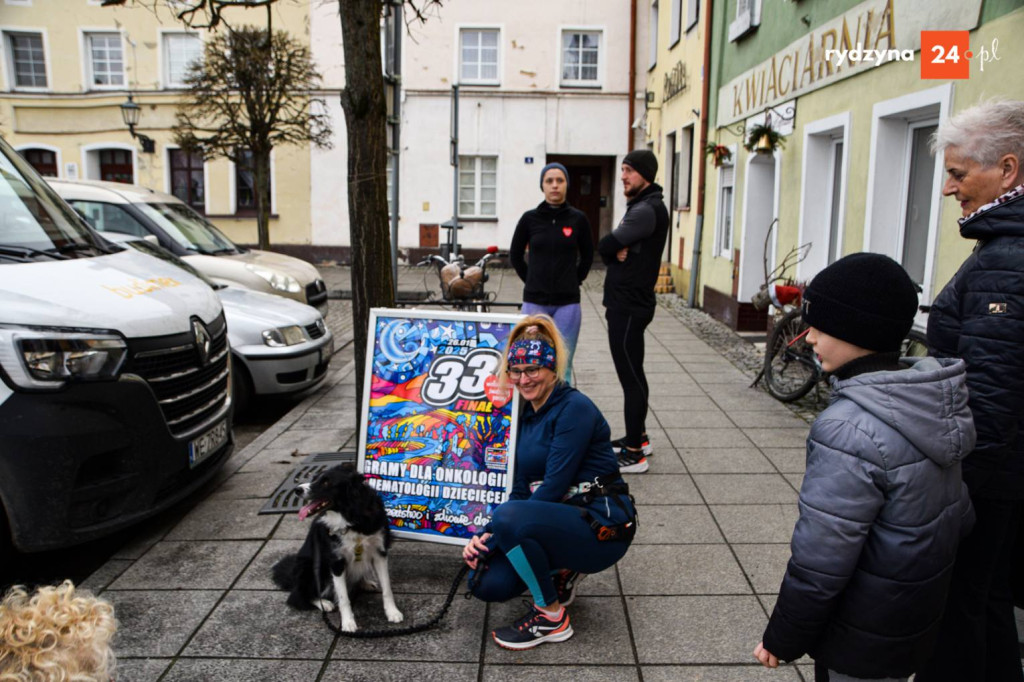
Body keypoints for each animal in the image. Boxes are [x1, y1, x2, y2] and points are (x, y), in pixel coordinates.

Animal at [268, 464, 403, 630]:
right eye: (314, 479)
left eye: (326, 482)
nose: (297, 490)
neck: (352, 518)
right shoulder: (336, 561)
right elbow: (343, 597)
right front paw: (348, 623)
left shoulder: (380, 552)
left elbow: (387, 588)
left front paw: (392, 612)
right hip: (309, 568)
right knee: (298, 597)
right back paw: (324, 603)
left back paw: (365, 582)